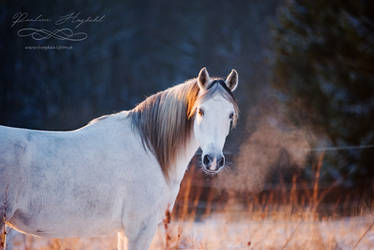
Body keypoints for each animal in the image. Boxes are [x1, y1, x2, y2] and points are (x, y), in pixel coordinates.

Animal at [0, 67, 238, 249]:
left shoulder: (125, 231)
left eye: (230, 115)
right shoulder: (139, 228)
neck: (152, 152)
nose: (213, 160)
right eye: (201, 111)